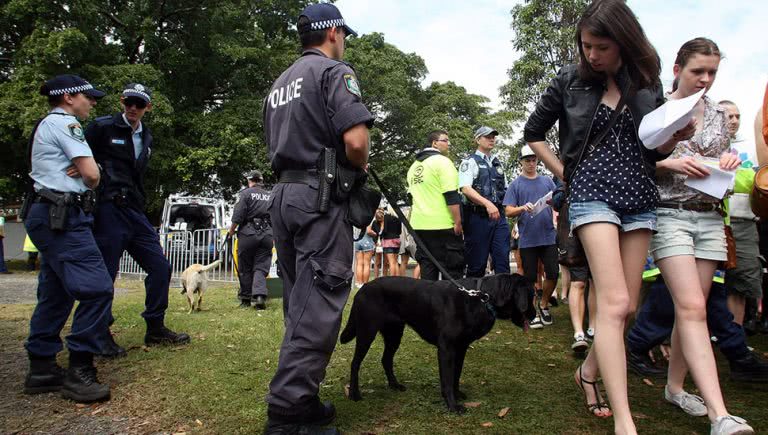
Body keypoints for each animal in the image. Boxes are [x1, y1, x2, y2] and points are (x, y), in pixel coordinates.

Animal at [340, 274, 536, 414]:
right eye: (531, 296)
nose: (534, 315)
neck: (482, 298)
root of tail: (363, 288)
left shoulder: (461, 348)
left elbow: (456, 375)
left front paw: (457, 395)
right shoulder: (446, 349)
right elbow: (447, 379)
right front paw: (452, 405)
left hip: (394, 334)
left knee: (386, 359)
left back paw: (395, 385)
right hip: (367, 332)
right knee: (355, 363)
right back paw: (354, 394)